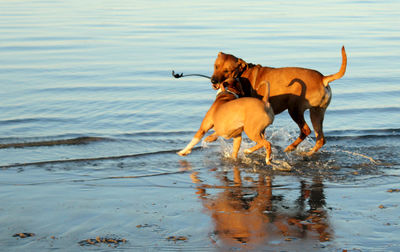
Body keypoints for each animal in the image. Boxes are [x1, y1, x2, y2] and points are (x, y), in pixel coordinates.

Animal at [209, 46, 346, 155]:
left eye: (227, 70)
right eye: (216, 66)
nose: (213, 80)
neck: (243, 74)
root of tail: (323, 78)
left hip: (294, 108)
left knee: (306, 130)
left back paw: (291, 147)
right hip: (317, 112)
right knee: (320, 139)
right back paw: (307, 153)